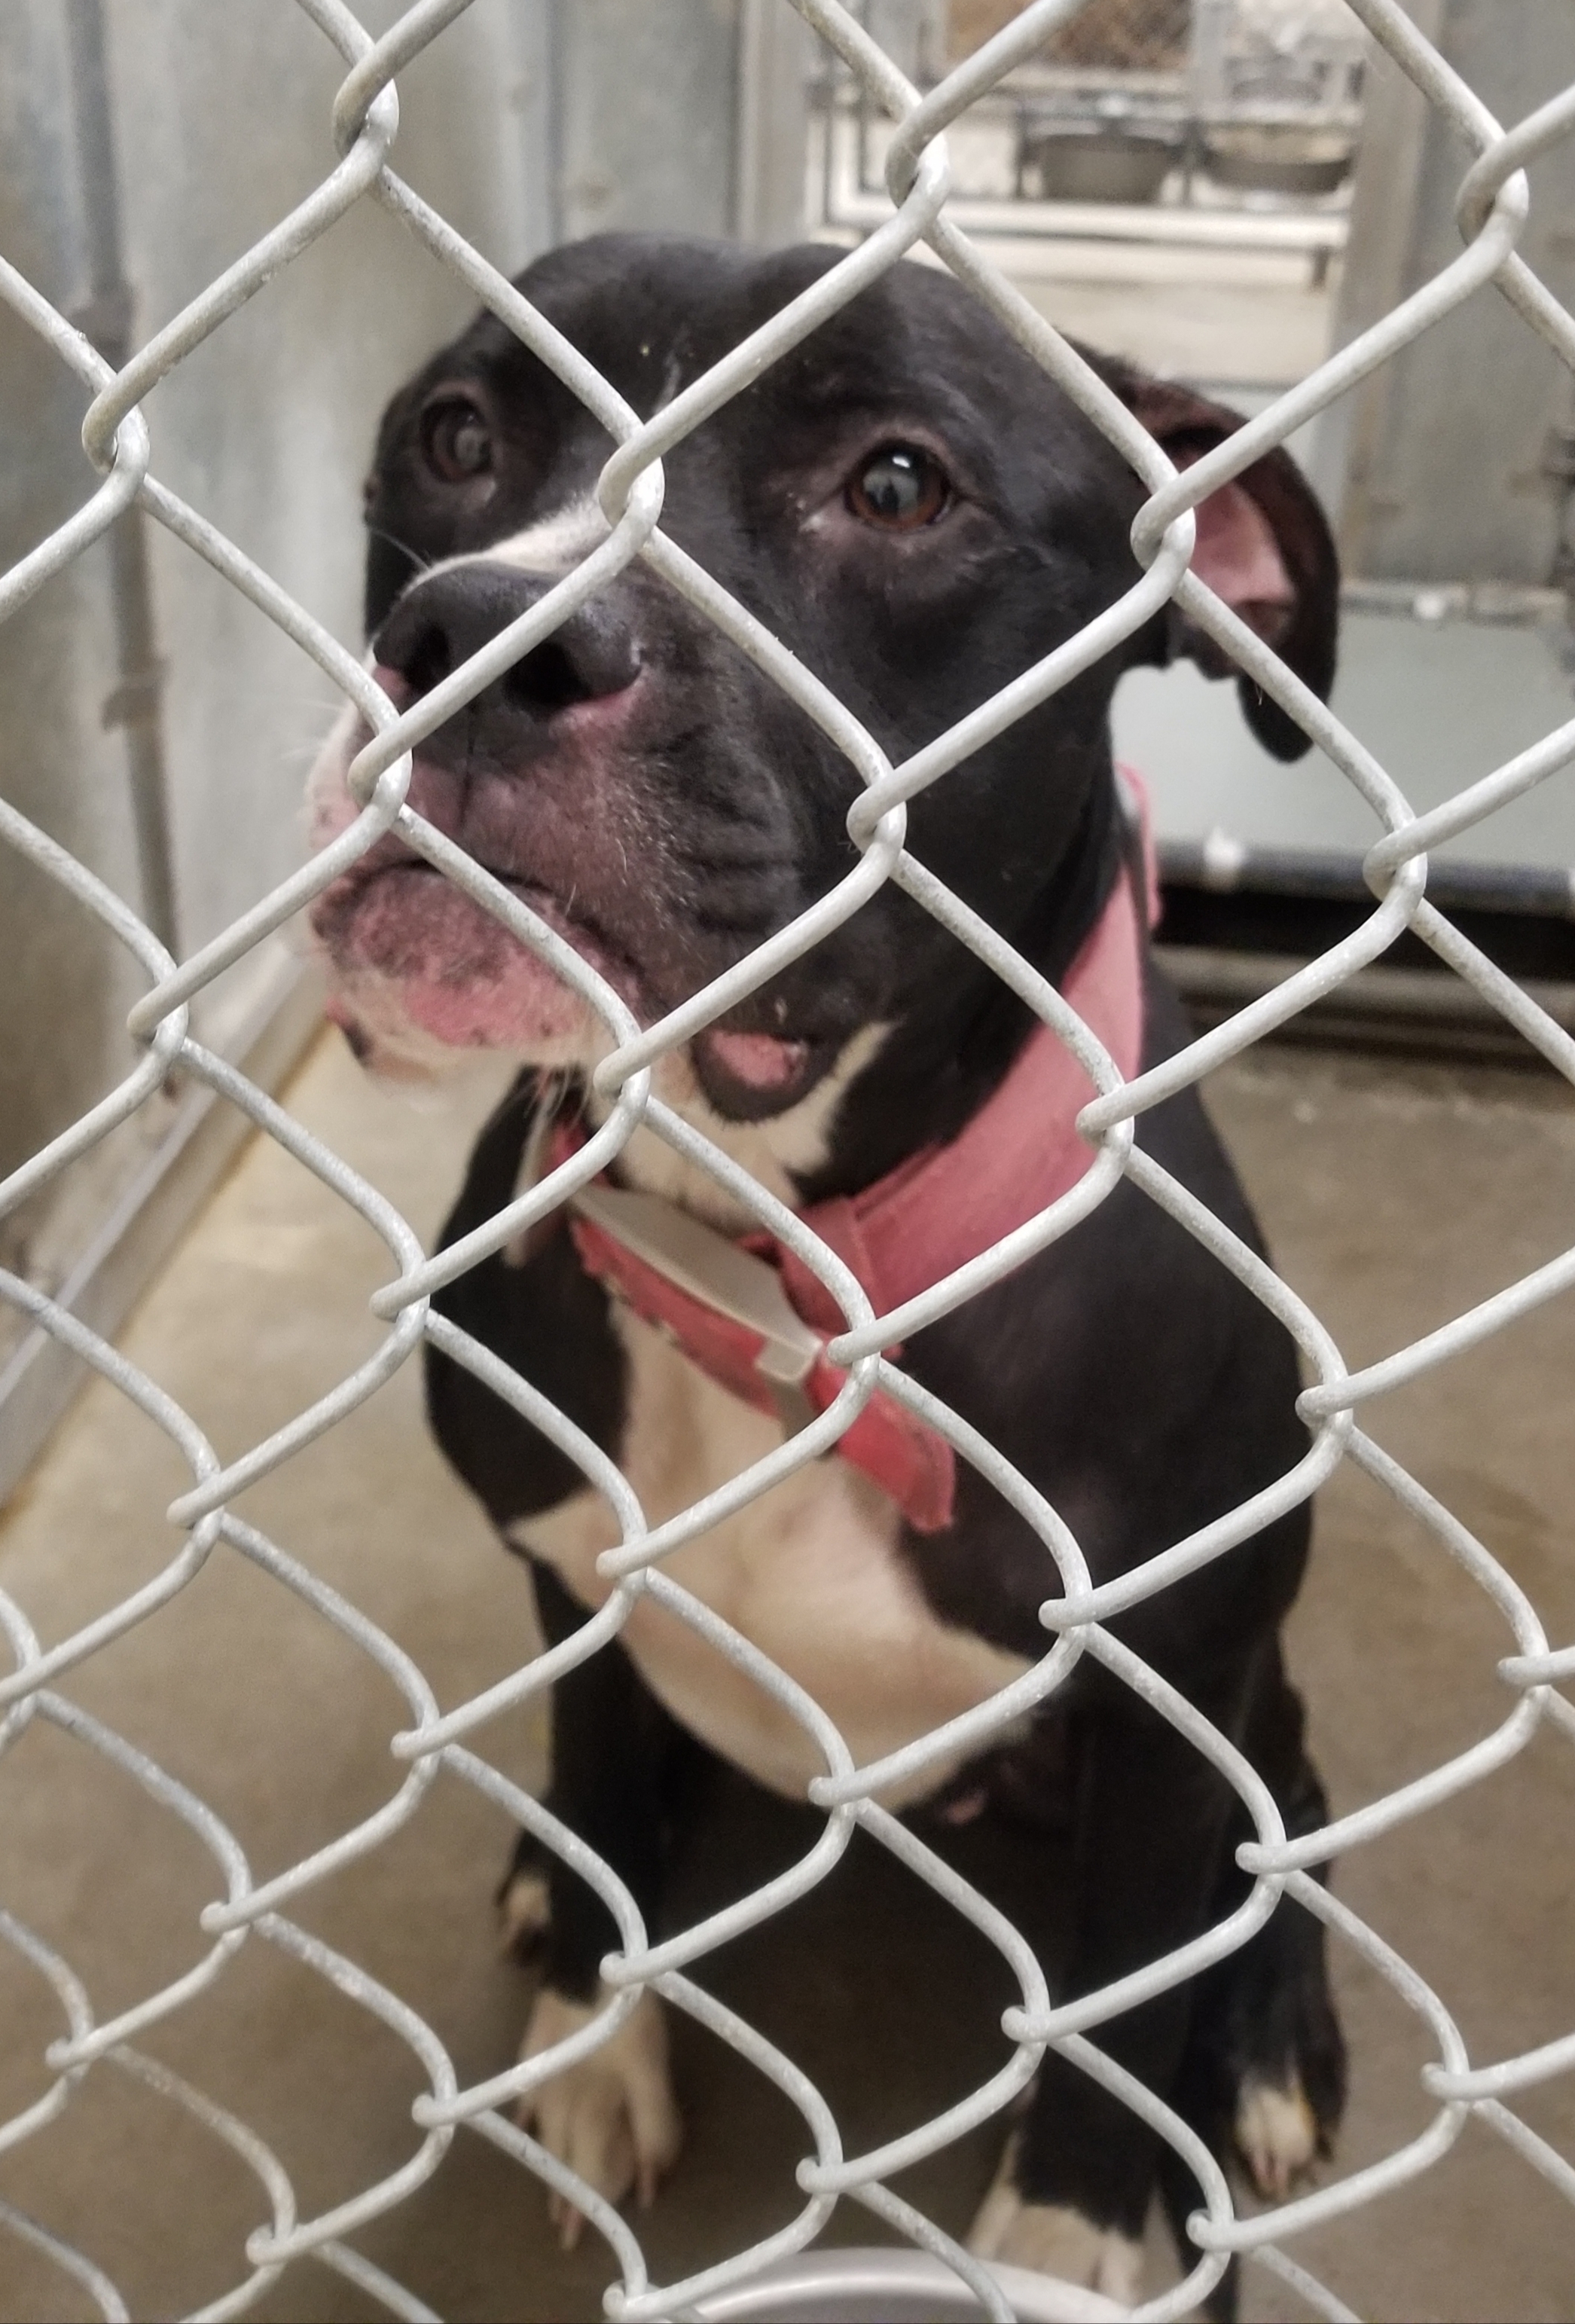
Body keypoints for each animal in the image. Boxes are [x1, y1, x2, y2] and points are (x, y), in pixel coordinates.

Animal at [313, 236, 1347, 2305]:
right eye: (455, 437)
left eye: (893, 483)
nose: (473, 634)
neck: (781, 1272)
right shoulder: (574, 1574)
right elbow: (605, 1792)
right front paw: (595, 2020)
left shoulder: (1172, 1693)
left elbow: (1121, 1997)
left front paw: (1078, 2224)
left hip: (1250, 1680)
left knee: (1294, 1818)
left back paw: (1271, 2031)